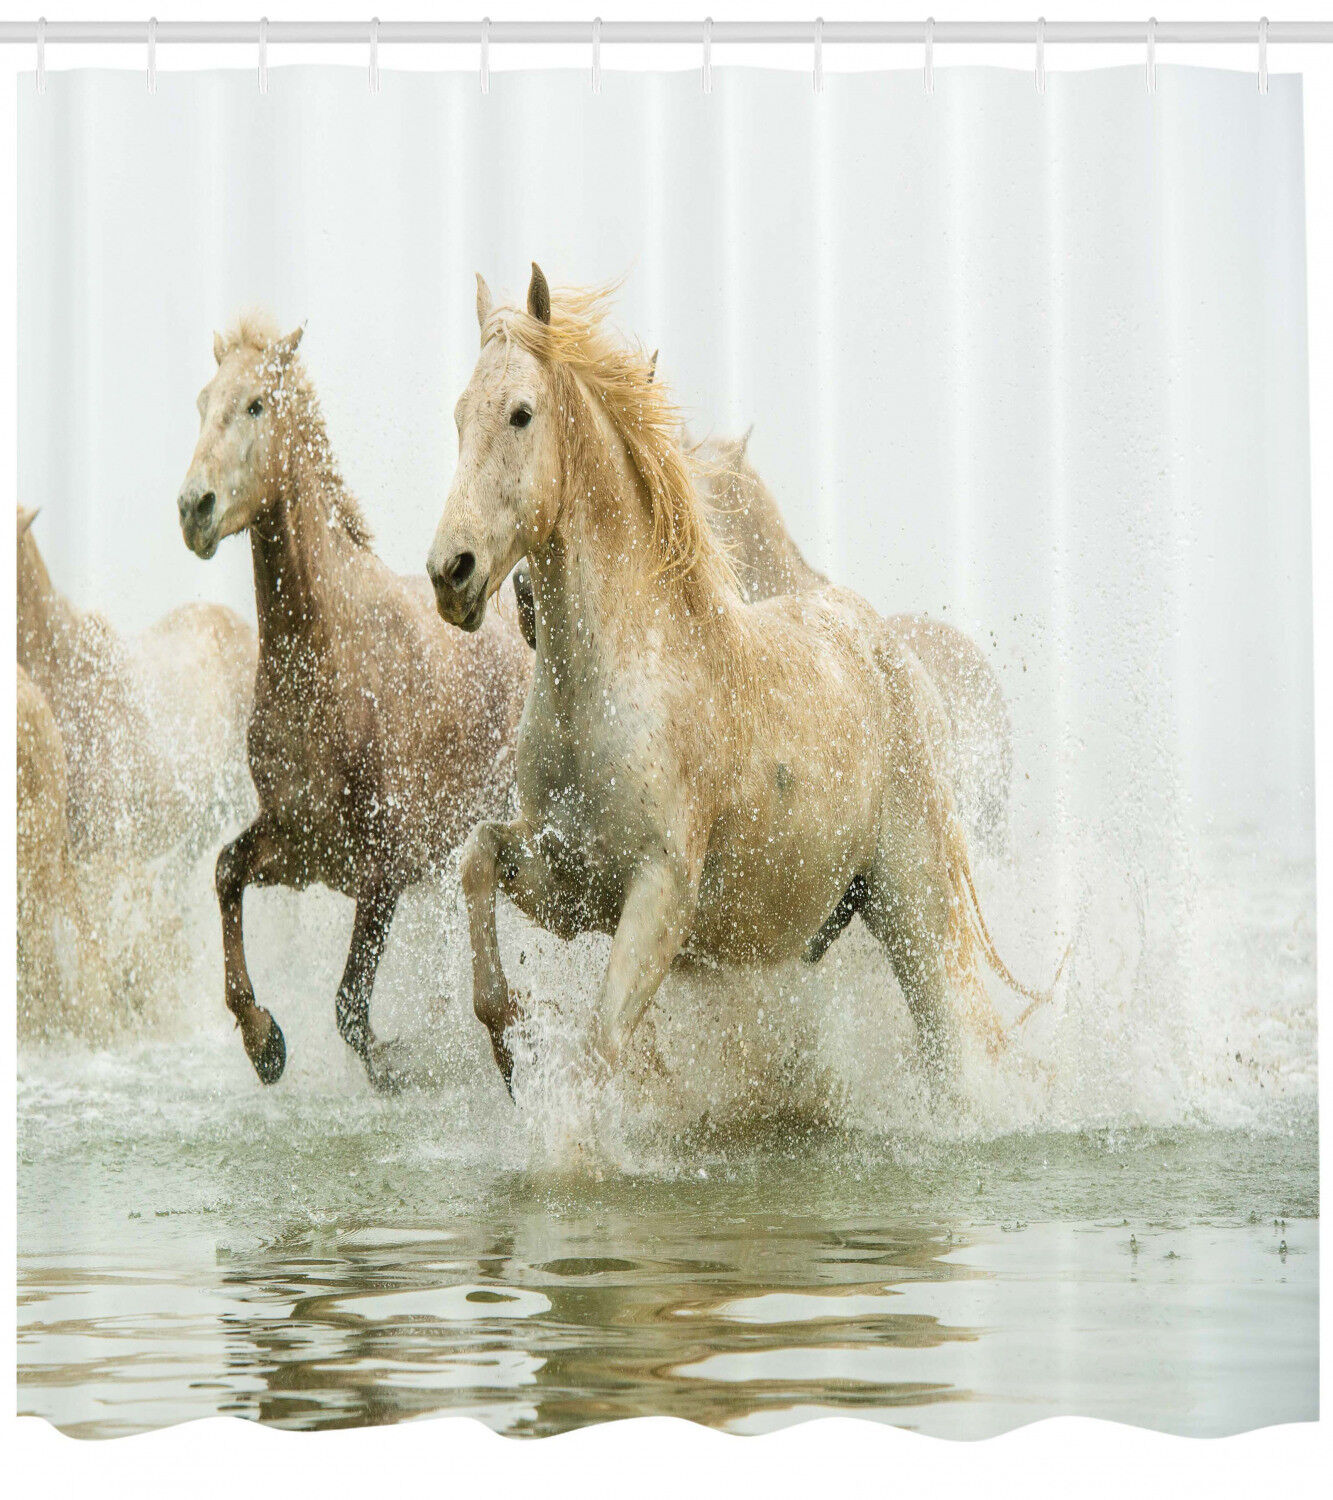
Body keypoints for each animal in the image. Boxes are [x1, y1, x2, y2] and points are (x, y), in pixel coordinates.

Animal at [176, 315, 532, 1090]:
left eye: (256, 404)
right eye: (202, 402)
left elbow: (349, 1006)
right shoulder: (301, 846)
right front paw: (265, 1043)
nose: (194, 510)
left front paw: (401, 1069)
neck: (329, 666)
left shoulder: (383, 869)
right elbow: (225, 872)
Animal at [428, 266, 1056, 1093]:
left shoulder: (658, 896)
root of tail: (887, 652)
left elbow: (603, 1046)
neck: (608, 688)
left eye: (520, 414)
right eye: (458, 416)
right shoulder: (564, 881)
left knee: (951, 1045)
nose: (451, 573)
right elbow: (476, 862)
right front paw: (507, 1046)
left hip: (915, 913)